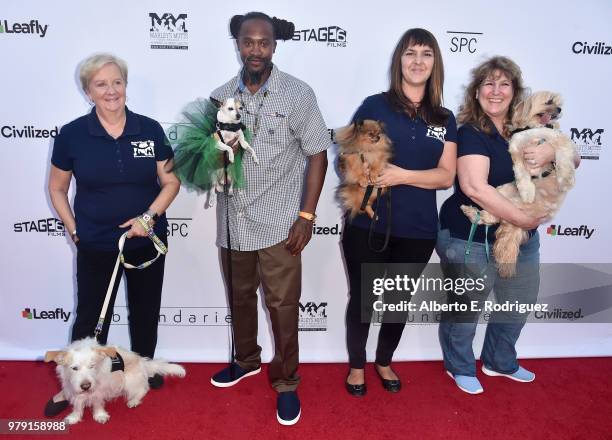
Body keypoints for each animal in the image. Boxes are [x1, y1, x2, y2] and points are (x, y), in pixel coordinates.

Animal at [45, 338, 185, 424]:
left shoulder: (99, 390)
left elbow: (97, 403)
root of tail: (142, 361)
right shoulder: (73, 388)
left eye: (92, 366)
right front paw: (74, 417)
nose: (86, 386)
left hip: (129, 381)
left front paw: (99, 415)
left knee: (143, 389)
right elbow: (78, 404)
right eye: (74, 368)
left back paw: (134, 401)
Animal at [462, 92, 576, 278]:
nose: (559, 109)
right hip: (503, 194)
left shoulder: (558, 140)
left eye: (558, 103)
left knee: (493, 217)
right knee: (492, 216)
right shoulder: (517, 148)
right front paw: (528, 192)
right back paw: (471, 212)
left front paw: (566, 179)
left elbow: (564, 156)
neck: (535, 129)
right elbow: (522, 173)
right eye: (549, 101)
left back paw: (471, 212)